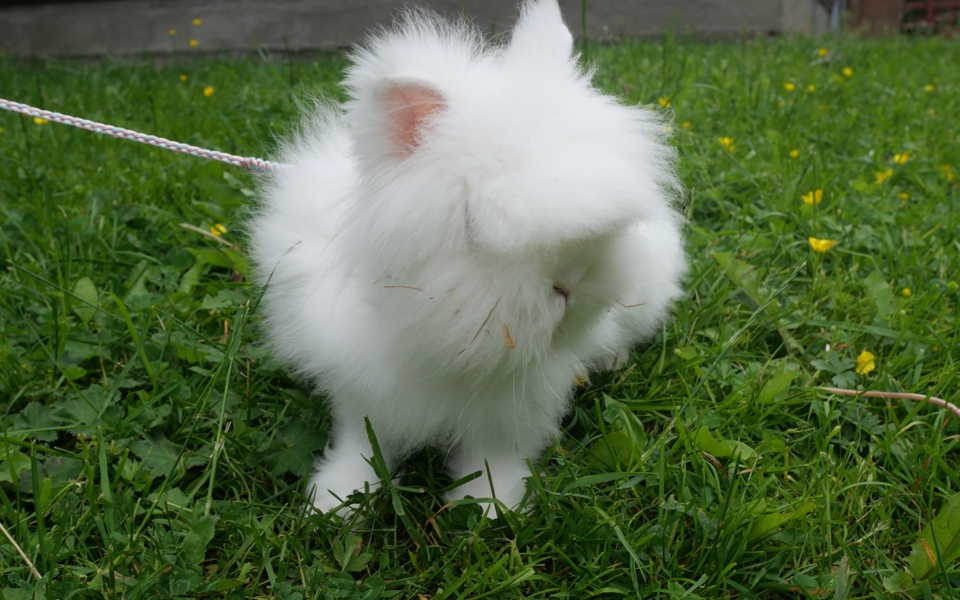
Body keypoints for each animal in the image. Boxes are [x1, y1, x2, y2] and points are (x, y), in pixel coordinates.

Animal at [248, 0, 687, 515]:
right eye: (473, 224)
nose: (570, 285)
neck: (438, 346)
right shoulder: (360, 387)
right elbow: (360, 443)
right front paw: (337, 502)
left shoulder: (512, 407)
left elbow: (494, 453)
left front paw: (491, 507)